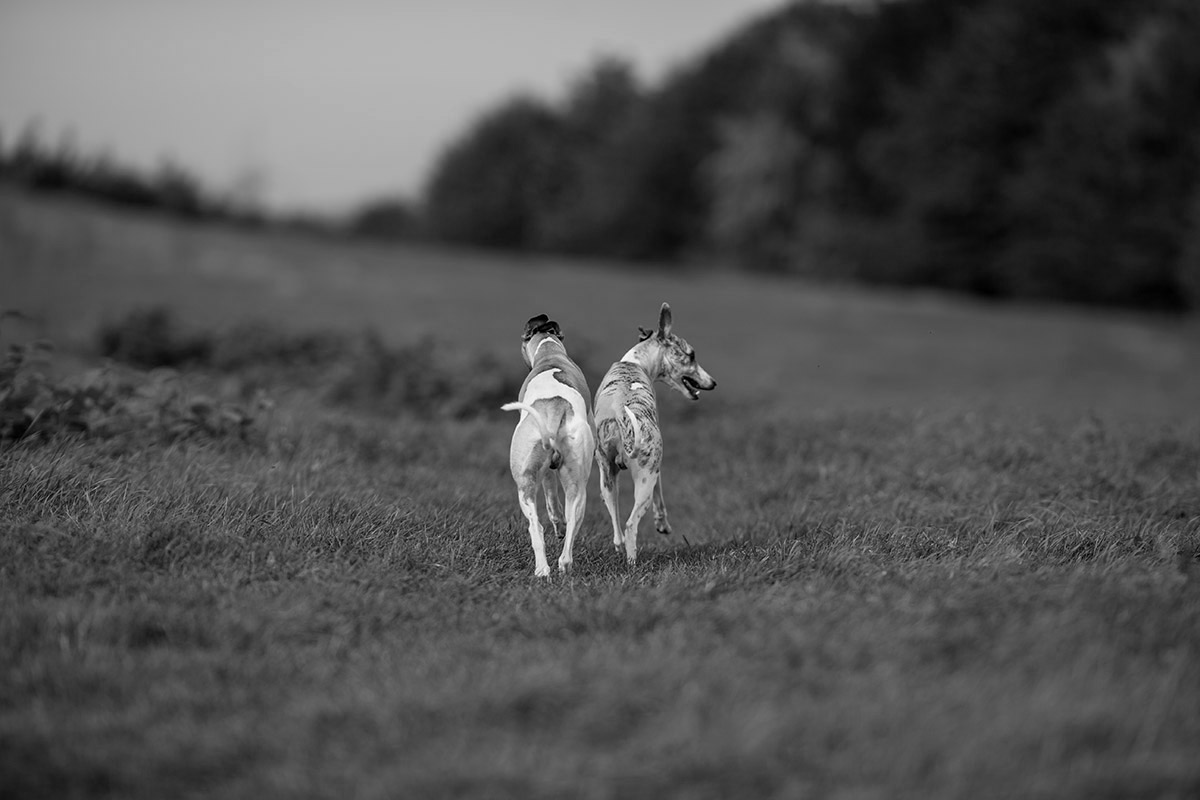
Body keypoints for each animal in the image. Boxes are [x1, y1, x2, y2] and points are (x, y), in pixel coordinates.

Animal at [501, 311, 595, 575]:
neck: (550, 353)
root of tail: (555, 408)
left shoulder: (547, 472)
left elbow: (552, 501)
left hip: (526, 482)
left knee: (538, 524)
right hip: (574, 485)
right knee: (564, 523)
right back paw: (555, 567)